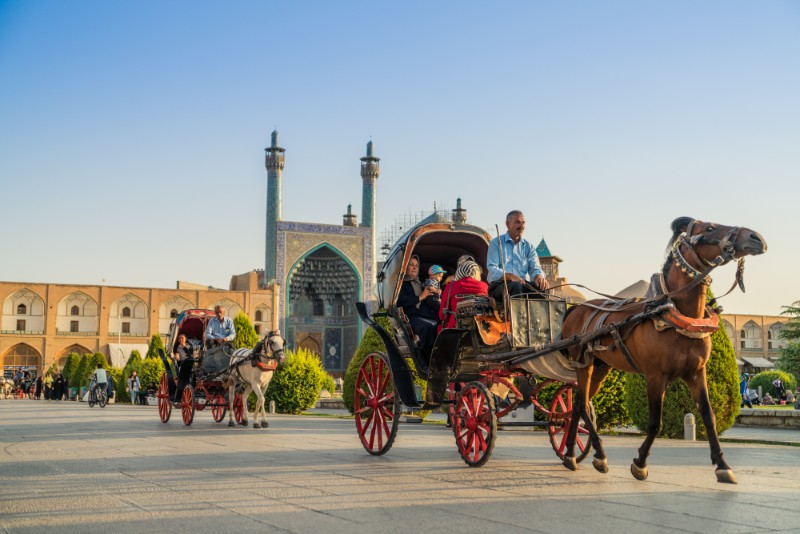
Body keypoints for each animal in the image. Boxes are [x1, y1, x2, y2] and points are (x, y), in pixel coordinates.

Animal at [560, 218, 764, 486]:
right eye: (709, 228)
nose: (755, 237)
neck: (672, 313)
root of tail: (575, 309)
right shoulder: (655, 376)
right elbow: (655, 422)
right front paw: (640, 464)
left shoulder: (697, 372)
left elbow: (708, 416)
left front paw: (722, 466)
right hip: (583, 362)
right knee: (584, 405)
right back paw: (599, 455)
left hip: (601, 365)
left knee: (577, 404)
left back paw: (570, 455)